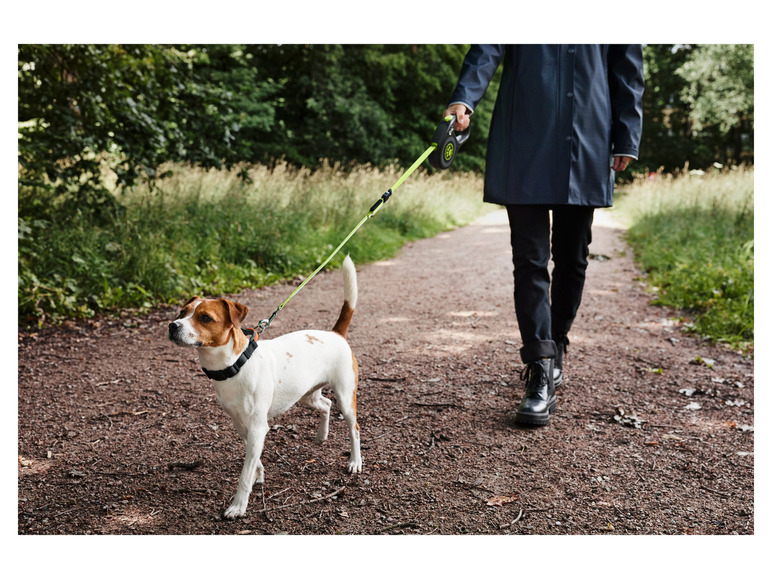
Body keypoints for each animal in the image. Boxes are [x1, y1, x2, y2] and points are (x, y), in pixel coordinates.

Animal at [169, 256, 362, 520]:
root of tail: (336, 334)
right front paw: (258, 475)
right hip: (307, 396)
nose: (172, 325)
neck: (236, 365)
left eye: (205, 317)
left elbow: (245, 473)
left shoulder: (258, 427)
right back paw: (321, 435)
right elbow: (254, 461)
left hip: (345, 396)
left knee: (354, 428)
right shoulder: (242, 425)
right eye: (182, 312)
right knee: (325, 404)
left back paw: (355, 461)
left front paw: (238, 506)